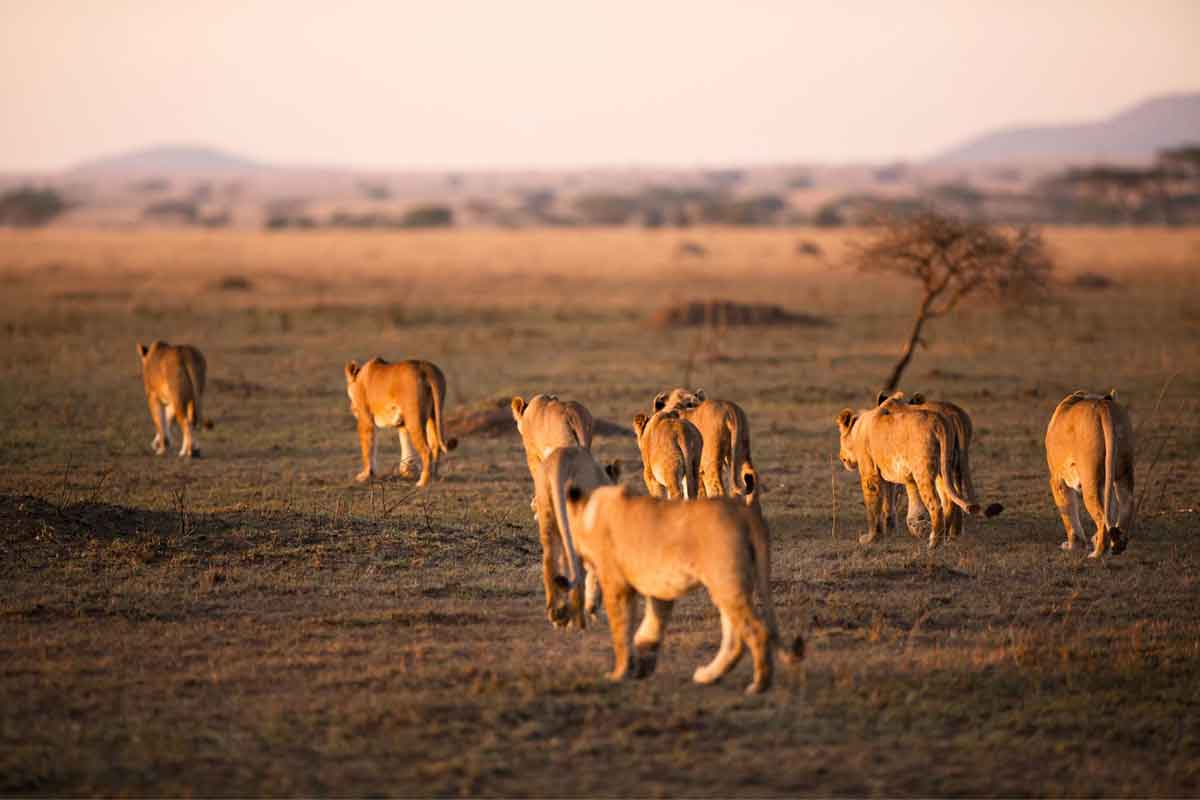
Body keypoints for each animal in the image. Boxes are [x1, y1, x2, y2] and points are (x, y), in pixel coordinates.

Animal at [350, 357, 460, 489]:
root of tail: (426, 368)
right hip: (434, 414)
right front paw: (405, 471)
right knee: (436, 445)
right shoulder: (401, 422)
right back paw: (434, 477)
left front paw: (365, 475)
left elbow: (368, 447)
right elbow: (404, 443)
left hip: (414, 418)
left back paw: (422, 482)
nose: (351, 408)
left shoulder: (365, 419)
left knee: (426, 450)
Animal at [554, 470, 801, 695]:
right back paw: (708, 676)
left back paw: (758, 685)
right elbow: (651, 625)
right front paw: (643, 663)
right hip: (730, 586)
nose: (563, 571)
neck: (590, 512)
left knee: (757, 631)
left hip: (726, 583)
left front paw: (619, 673)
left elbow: (621, 631)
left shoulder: (616, 585)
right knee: (735, 639)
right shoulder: (660, 590)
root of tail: (745, 514)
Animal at [840, 400, 979, 551]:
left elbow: (872, 507)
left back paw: (934, 543)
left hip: (922, 472)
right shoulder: (888, 476)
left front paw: (871, 538)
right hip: (944, 469)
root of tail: (940, 421)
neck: (857, 429)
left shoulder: (870, 474)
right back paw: (945, 538)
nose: (840, 456)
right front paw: (889, 531)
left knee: (936, 505)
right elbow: (888, 503)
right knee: (948, 501)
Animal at [1041, 388, 1132, 556]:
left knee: (1101, 518)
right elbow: (1111, 508)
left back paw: (1096, 554)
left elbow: (1069, 515)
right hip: (1124, 471)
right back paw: (1118, 545)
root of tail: (1103, 406)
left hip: (1090, 479)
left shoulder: (1058, 480)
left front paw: (1073, 545)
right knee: (1126, 503)